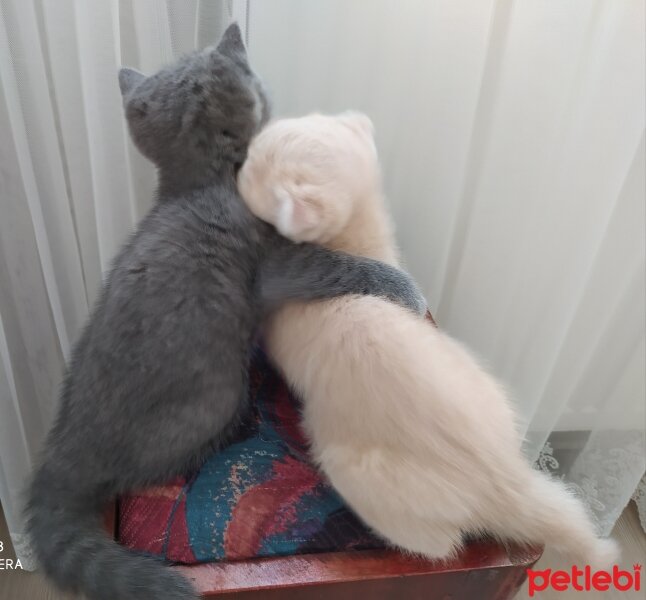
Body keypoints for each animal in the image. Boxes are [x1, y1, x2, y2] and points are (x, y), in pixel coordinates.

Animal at [25, 23, 426, 600]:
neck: (201, 182)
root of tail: (63, 453)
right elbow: (337, 266)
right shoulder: (280, 261)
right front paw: (406, 288)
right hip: (217, 394)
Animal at [239, 113, 624, 568]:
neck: (361, 246)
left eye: (254, 165)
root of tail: (506, 476)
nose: (237, 166)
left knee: (441, 545)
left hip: (355, 468)